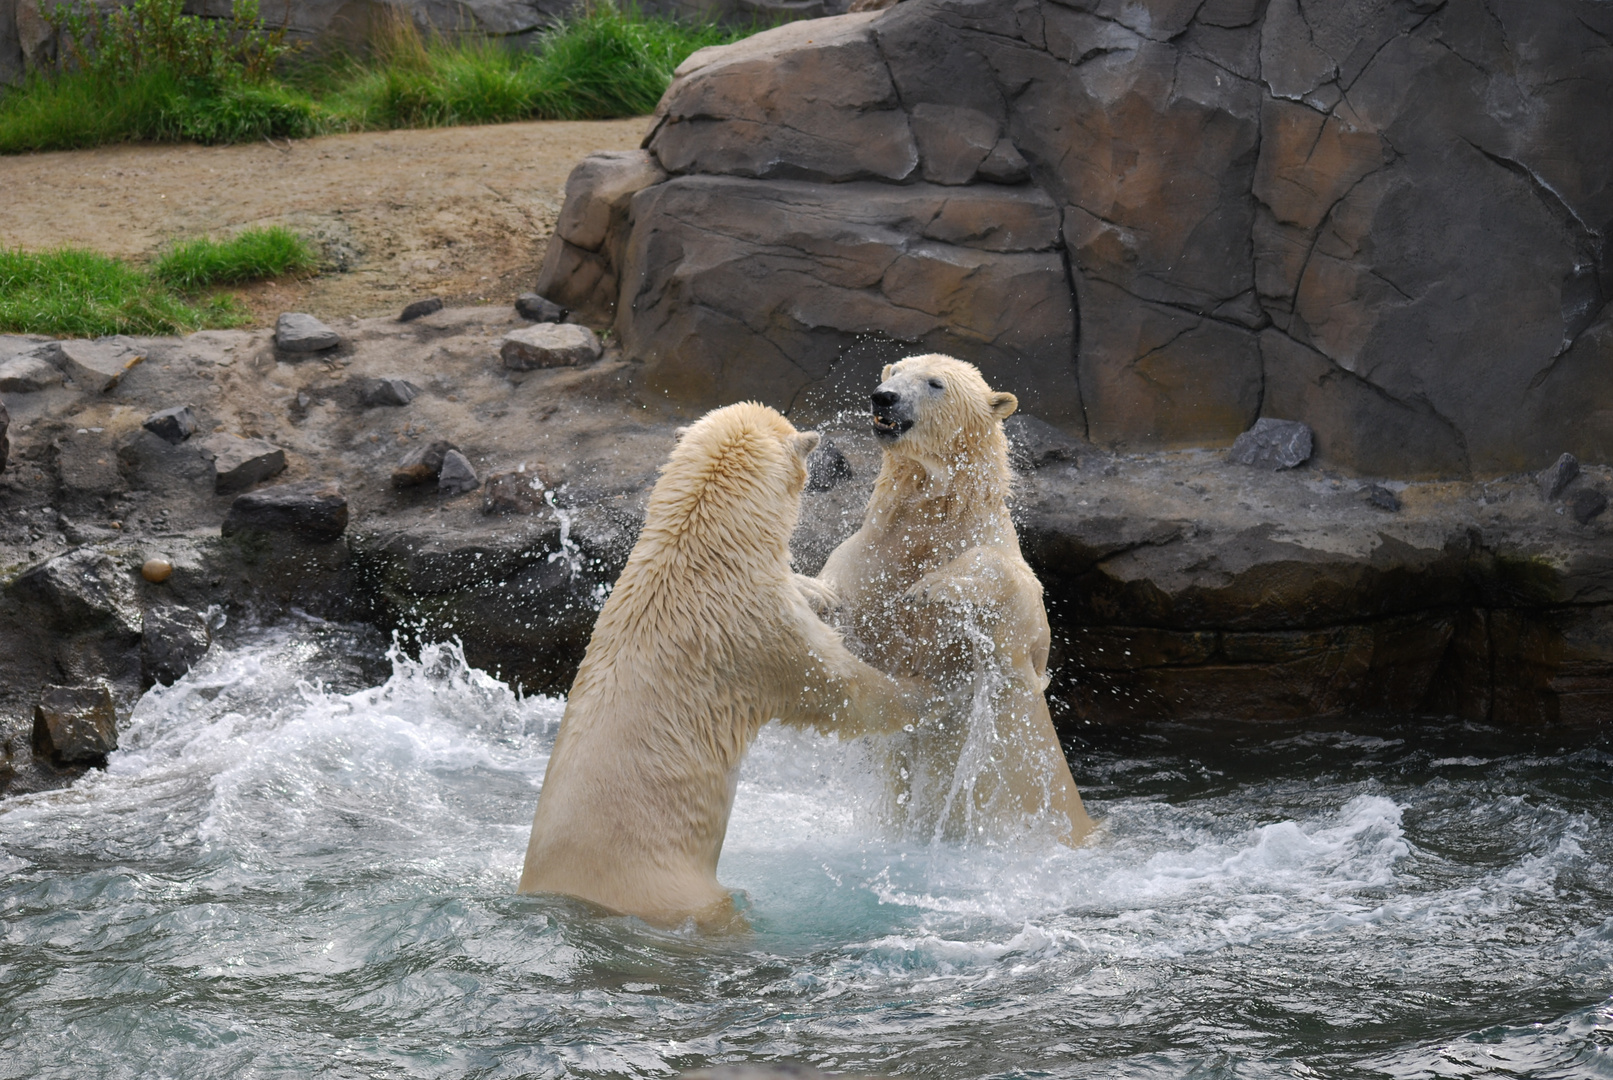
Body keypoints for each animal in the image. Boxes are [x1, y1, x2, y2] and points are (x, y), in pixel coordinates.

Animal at [519, 401, 916, 928]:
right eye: (808, 444)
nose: (831, 449)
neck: (703, 551)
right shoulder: (753, 628)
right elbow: (834, 685)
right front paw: (928, 695)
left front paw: (822, 591)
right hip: (670, 889)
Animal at [819, 359, 1096, 851]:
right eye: (895, 370)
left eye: (934, 383)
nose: (883, 397)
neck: (936, 514)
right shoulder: (877, 551)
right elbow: (847, 599)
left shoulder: (1001, 574)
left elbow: (1012, 590)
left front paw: (931, 586)